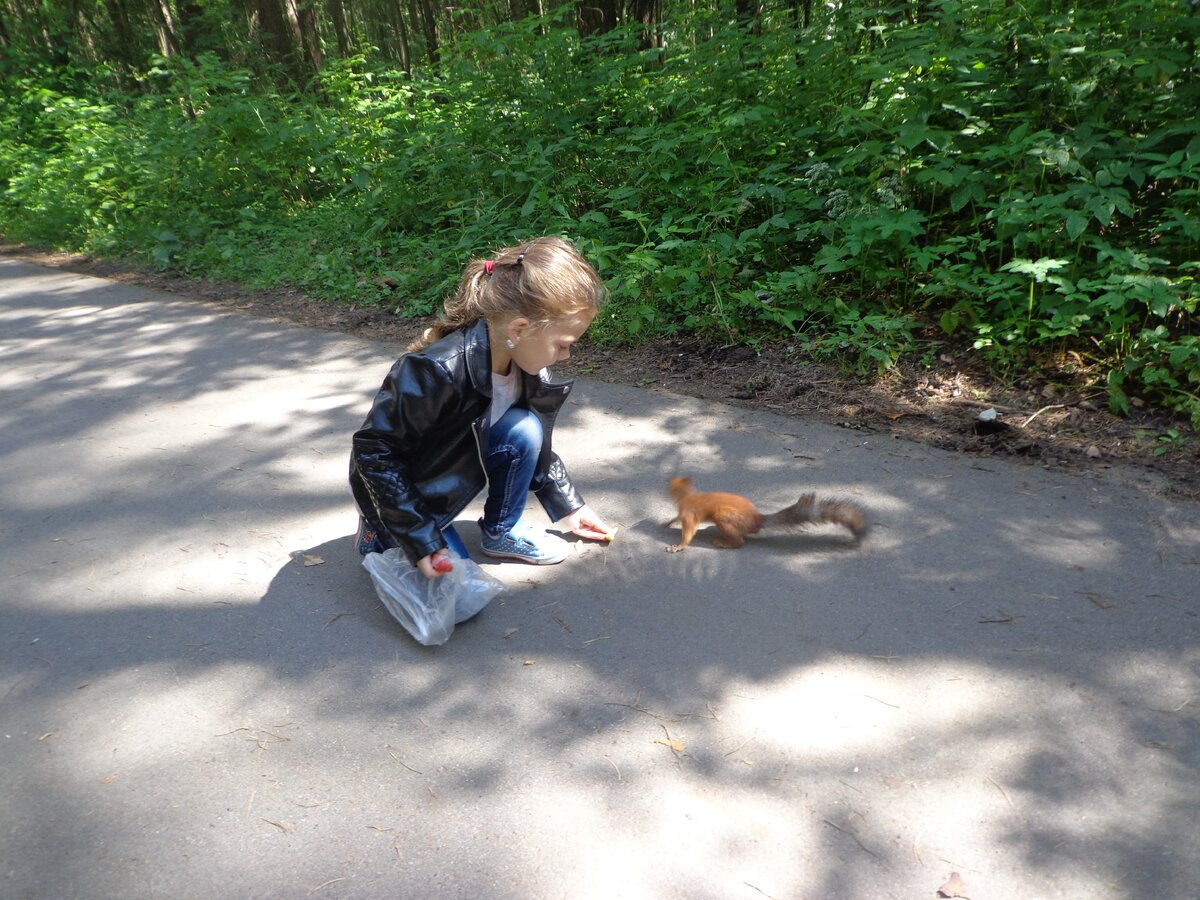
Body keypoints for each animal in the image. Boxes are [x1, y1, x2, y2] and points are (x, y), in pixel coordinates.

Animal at [662, 480, 868, 549]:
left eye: (672, 486)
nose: (666, 486)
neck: (687, 495)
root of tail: (757, 519)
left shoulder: (689, 513)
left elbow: (689, 530)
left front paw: (679, 546)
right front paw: (667, 522)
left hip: (725, 517)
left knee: (740, 541)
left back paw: (725, 543)